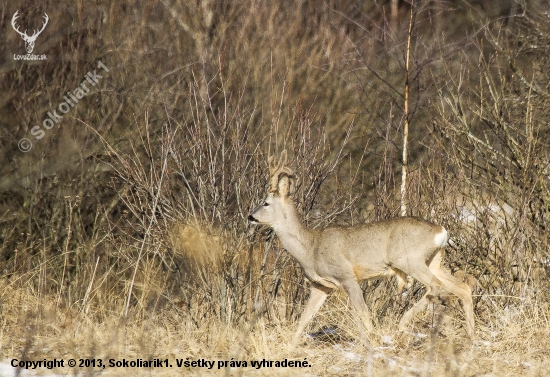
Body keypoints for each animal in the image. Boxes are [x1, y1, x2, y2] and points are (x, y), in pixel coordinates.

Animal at [248, 149, 476, 340]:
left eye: (265, 203)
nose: (250, 216)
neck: (310, 247)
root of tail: (441, 231)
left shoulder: (346, 276)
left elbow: (364, 314)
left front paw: (373, 338)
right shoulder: (320, 285)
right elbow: (304, 319)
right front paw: (291, 346)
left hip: (409, 260)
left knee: (435, 286)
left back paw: (402, 323)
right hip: (434, 261)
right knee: (463, 288)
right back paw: (471, 337)